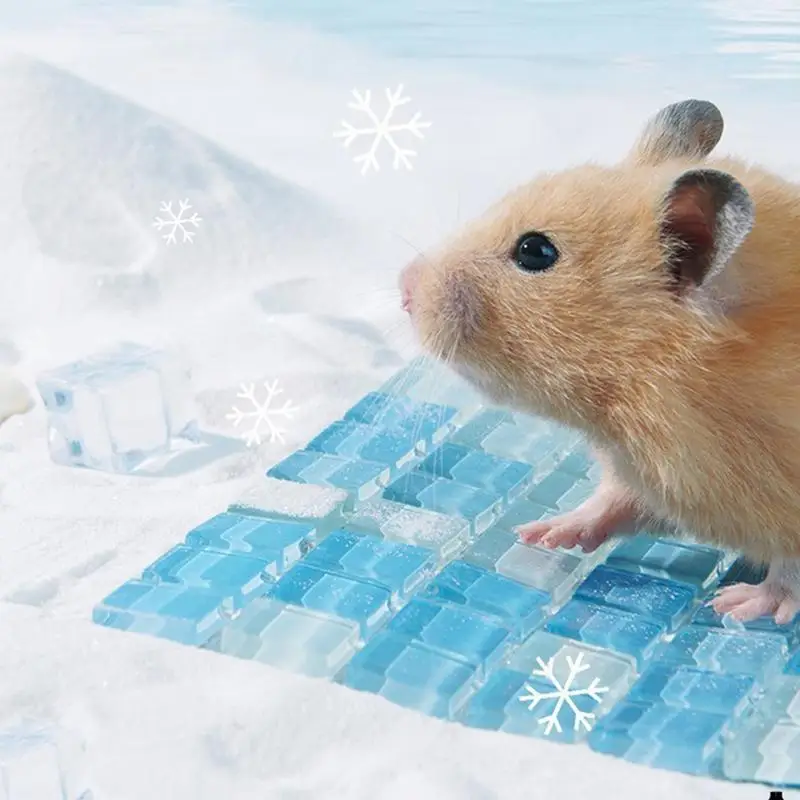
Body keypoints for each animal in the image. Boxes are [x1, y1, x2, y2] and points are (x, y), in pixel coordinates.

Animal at [399, 98, 800, 625]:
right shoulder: (654, 479)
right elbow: (613, 503)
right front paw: (543, 533)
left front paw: (738, 607)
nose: (404, 286)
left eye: (535, 251)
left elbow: (790, 570)